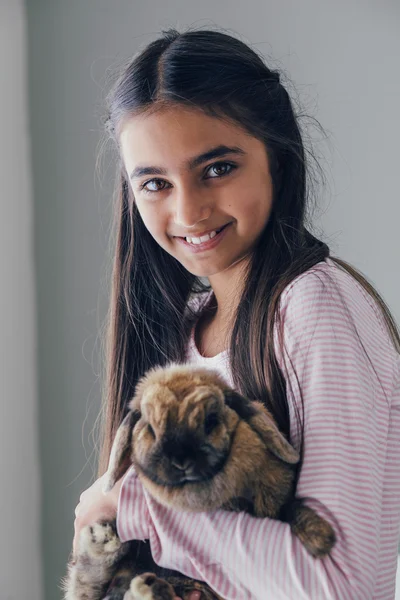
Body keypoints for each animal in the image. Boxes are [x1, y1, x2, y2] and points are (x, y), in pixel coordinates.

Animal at [63, 360, 334, 600]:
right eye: (150, 427)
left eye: (211, 420)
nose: (181, 460)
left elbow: (290, 509)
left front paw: (321, 538)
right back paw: (107, 545)